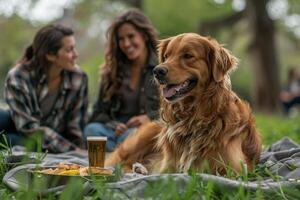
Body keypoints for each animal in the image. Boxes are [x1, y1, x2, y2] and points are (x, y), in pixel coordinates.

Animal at [105, 33, 260, 175]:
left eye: (188, 56)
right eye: (166, 56)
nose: (157, 71)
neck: (194, 115)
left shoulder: (234, 170)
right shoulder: (169, 167)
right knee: (119, 162)